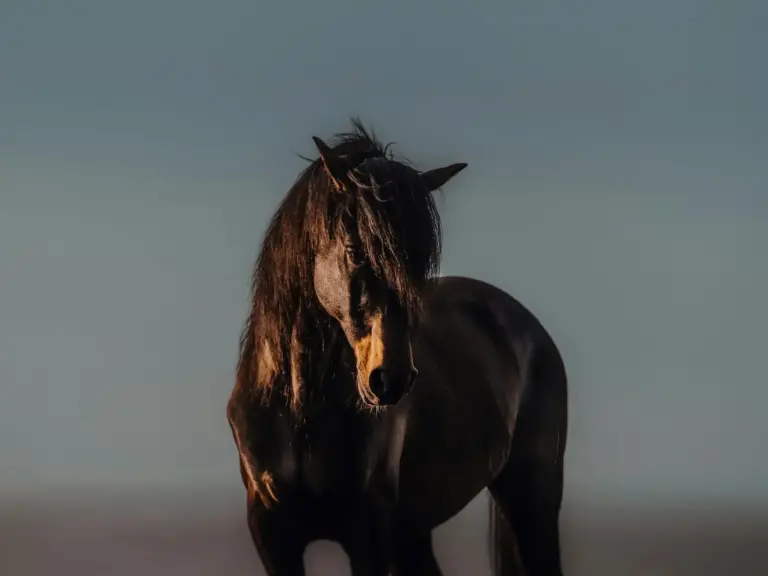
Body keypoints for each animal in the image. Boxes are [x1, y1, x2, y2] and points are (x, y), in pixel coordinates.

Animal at [226, 120, 568, 576]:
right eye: (356, 251)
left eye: (418, 264)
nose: (392, 379)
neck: (299, 408)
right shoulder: (273, 534)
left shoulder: (369, 531)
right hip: (414, 532)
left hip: (532, 501)